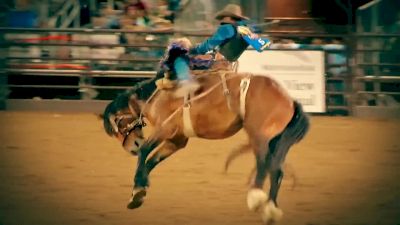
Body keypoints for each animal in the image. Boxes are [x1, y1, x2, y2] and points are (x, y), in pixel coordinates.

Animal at [103, 61, 310, 223]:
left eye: (118, 124)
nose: (132, 147)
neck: (158, 96)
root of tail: (289, 99)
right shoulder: (176, 140)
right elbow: (152, 160)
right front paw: (139, 192)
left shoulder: (164, 129)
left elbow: (145, 152)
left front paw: (137, 189)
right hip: (277, 140)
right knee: (276, 170)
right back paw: (271, 209)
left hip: (259, 135)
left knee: (263, 164)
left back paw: (256, 197)